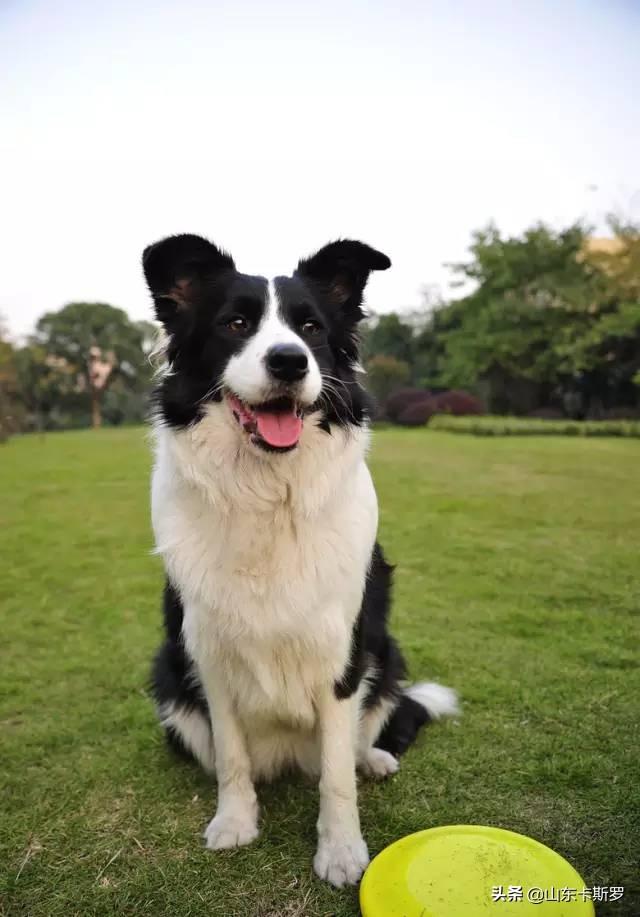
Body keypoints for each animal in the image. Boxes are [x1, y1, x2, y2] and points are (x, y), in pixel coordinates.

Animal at [144, 236, 456, 888]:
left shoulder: (341, 655)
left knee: (362, 737)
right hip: (168, 672)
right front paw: (235, 823)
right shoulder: (208, 652)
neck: (268, 493)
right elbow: (232, 756)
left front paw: (341, 853)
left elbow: (336, 775)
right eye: (235, 323)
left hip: (384, 652)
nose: (289, 362)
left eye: (311, 327)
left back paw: (375, 757)